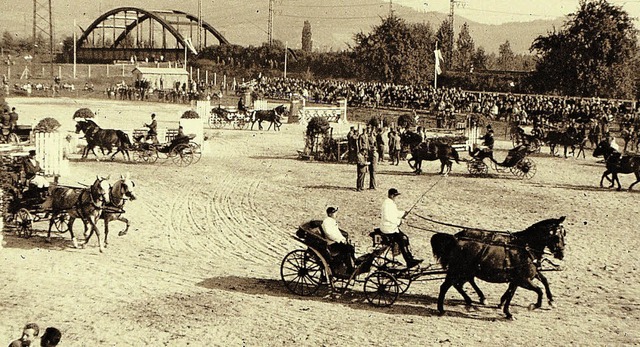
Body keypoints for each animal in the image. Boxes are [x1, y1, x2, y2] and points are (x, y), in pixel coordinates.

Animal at [430, 218, 564, 320]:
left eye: (564, 234)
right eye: (556, 236)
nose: (561, 254)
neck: (524, 248)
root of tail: (456, 239)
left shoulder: (517, 280)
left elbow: (513, 293)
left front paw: (507, 311)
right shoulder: (523, 280)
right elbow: (539, 290)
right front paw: (533, 305)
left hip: (464, 271)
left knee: (459, 284)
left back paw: (473, 299)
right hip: (457, 271)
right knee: (446, 286)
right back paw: (442, 309)